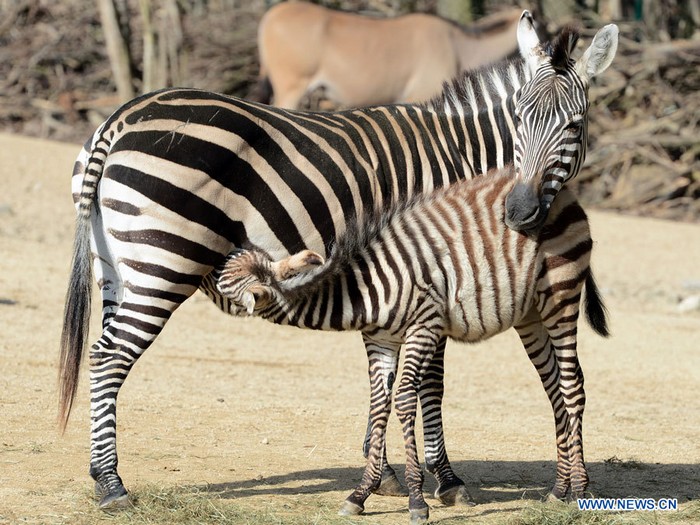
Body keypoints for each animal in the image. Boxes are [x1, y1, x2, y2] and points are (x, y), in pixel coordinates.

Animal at [216, 166, 608, 520]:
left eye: (226, 292)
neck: (364, 290)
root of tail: (562, 194)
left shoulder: (424, 326)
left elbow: (404, 400)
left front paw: (417, 501)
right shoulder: (379, 340)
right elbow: (379, 405)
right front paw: (360, 494)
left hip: (561, 296)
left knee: (573, 387)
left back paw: (580, 490)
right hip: (530, 315)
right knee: (554, 389)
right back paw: (558, 490)